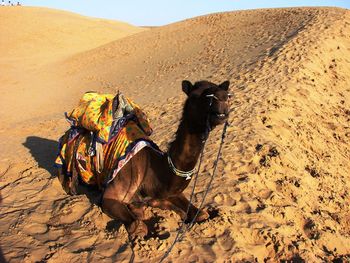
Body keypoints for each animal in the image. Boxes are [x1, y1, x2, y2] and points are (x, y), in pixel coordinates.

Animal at [58, 80, 231, 239]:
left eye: (224, 92)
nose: (223, 98)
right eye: (195, 95)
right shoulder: (111, 195)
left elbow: (200, 214)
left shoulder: (171, 191)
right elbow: (139, 225)